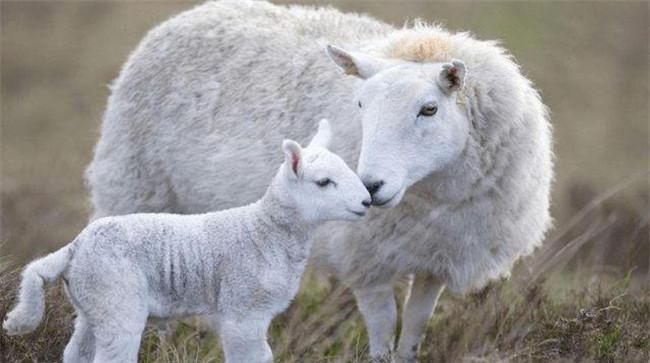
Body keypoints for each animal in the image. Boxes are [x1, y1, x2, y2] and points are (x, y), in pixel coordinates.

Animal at [3, 121, 370, 363]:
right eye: (323, 182)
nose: (367, 201)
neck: (265, 230)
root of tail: (74, 249)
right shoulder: (243, 311)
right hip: (117, 300)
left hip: (92, 306)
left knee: (77, 351)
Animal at [86, 1, 552, 362]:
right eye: (360, 104)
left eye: (429, 109)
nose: (370, 187)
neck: (435, 193)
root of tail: (192, 14)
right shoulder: (365, 259)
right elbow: (383, 328)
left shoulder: (437, 256)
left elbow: (416, 328)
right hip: (134, 188)